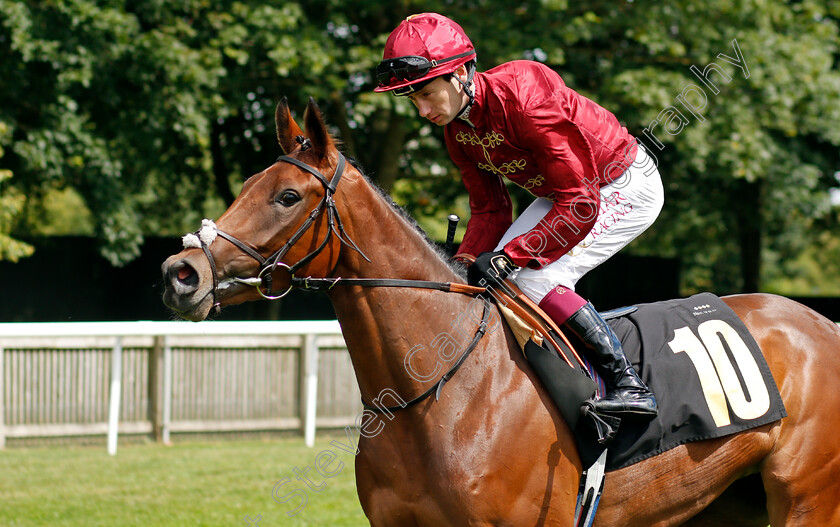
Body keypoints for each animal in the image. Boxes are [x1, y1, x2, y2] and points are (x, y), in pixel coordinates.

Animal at [162, 97, 840, 524]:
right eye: (245, 186)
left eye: (286, 196)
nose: (181, 273)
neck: (435, 392)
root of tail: (821, 323)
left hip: (808, 499)